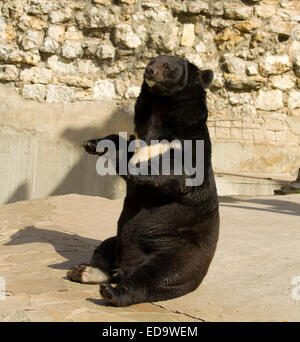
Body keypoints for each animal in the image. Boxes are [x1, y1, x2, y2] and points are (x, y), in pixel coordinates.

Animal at [67, 54, 219, 306]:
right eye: (152, 61)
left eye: (167, 66)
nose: (150, 71)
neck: (161, 109)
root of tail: (125, 269)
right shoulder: (139, 134)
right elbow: (120, 144)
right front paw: (93, 143)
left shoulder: (189, 142)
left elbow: (181, 172)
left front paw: (136, 167)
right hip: (117, 240)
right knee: (104, 251)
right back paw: (84, 271)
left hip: (178, 252)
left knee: (157, 276)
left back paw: (113, 292)